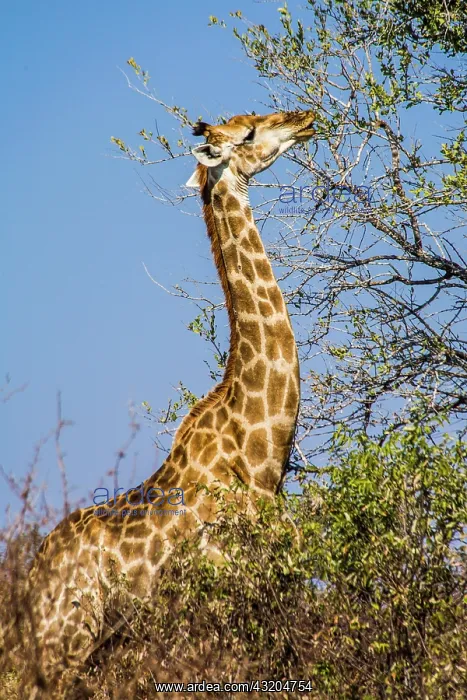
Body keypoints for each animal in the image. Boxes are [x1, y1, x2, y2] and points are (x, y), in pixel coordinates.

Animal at [20, 109, 315, 697]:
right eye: (249, 133)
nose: (303, 118)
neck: (261, 454)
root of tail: (31, 585)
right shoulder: (223, 602)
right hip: (67, 642)